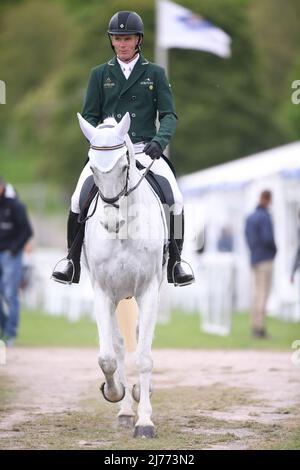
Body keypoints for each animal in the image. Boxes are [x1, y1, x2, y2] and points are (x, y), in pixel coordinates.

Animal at [77, 112, 165, 438]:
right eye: (92, 168)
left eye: (125, 167)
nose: (111, 221)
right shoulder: (103, 292)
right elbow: (108, 356)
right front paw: (115, 393)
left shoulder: (148, 291)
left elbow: (144, 356)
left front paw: (145, 421)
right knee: (117, 345)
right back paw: (125, 408)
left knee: (139, 339)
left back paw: (140, 395)